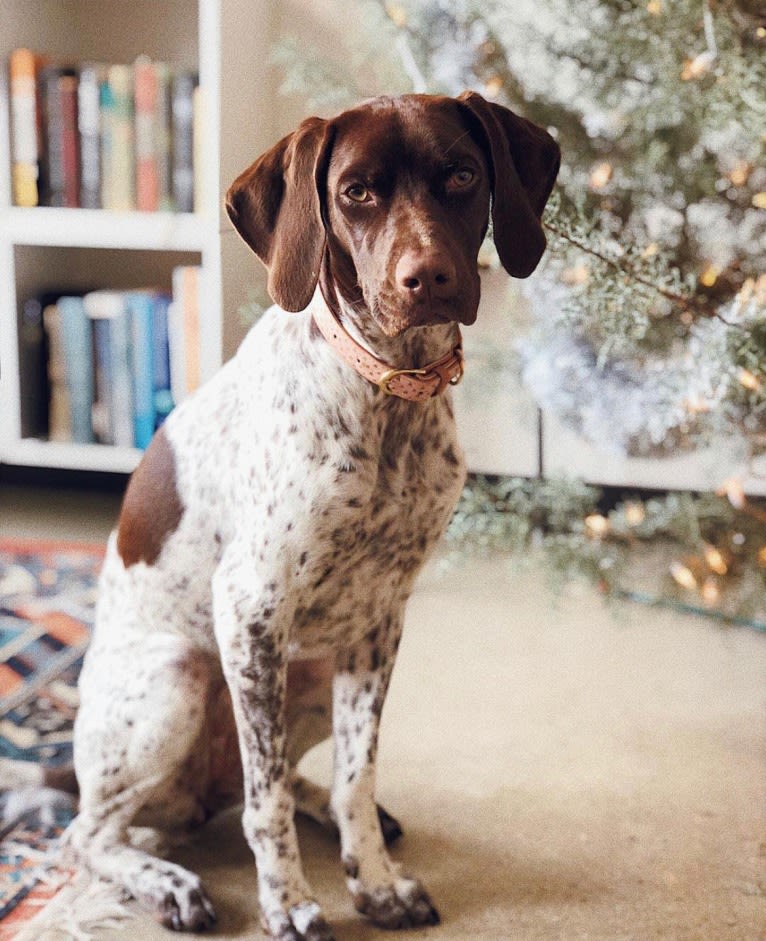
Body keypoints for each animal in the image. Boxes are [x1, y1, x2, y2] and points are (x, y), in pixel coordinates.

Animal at [63, 90, 560, 940]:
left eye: (462, 174)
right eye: (357, 192)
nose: (428, 276)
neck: (386, 394)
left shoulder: (380, 618)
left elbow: (356, 774)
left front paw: (376, 881)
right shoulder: (251, 608)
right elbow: (264, 808)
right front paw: (289, 902)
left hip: (313, 668)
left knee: (272, 784)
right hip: (181, 673)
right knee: (100, 830)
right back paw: (168, 882)